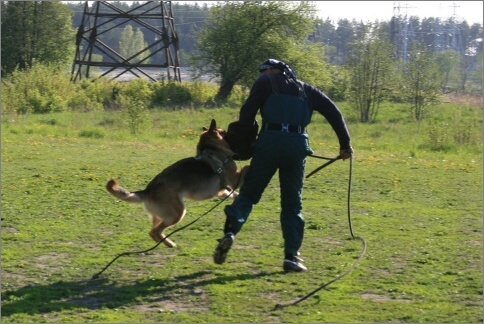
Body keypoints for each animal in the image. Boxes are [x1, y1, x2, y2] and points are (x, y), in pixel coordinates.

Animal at [106, 119, 250, 248]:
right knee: (155, 231)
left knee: (152, 231)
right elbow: (246, 168)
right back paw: (170, 244)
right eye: (224, 132)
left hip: (160, 216)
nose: (229, 132)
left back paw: (164, 243)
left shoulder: (222, 191)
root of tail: (148, 190)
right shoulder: (234, 179)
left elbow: (233, 193)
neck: (210, 147)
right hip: (178, 212)